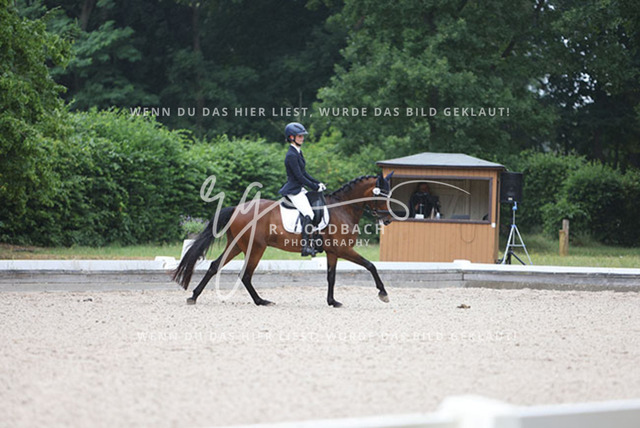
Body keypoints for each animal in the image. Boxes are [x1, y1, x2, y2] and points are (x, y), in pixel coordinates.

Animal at [172, 173, 394, 307]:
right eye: (383, 196)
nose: (388, 220)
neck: (343, 208)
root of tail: (237, 209)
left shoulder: (333, 252)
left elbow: (331, 277)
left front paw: (332, 301)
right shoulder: (343, 250)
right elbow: (371, 265)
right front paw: (383, 294)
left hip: (237, 245)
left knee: (215, 266)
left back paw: (194, 296)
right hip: (255, 248)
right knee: (245, 275)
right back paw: (261, 301)